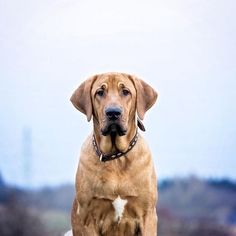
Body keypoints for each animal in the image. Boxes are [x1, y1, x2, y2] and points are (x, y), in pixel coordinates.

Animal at [68, 73, 159, 235]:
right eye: (100, 92)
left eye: (125, 92)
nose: (113, 113)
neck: (116, 158)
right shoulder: (88, 218)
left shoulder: (148, 215)